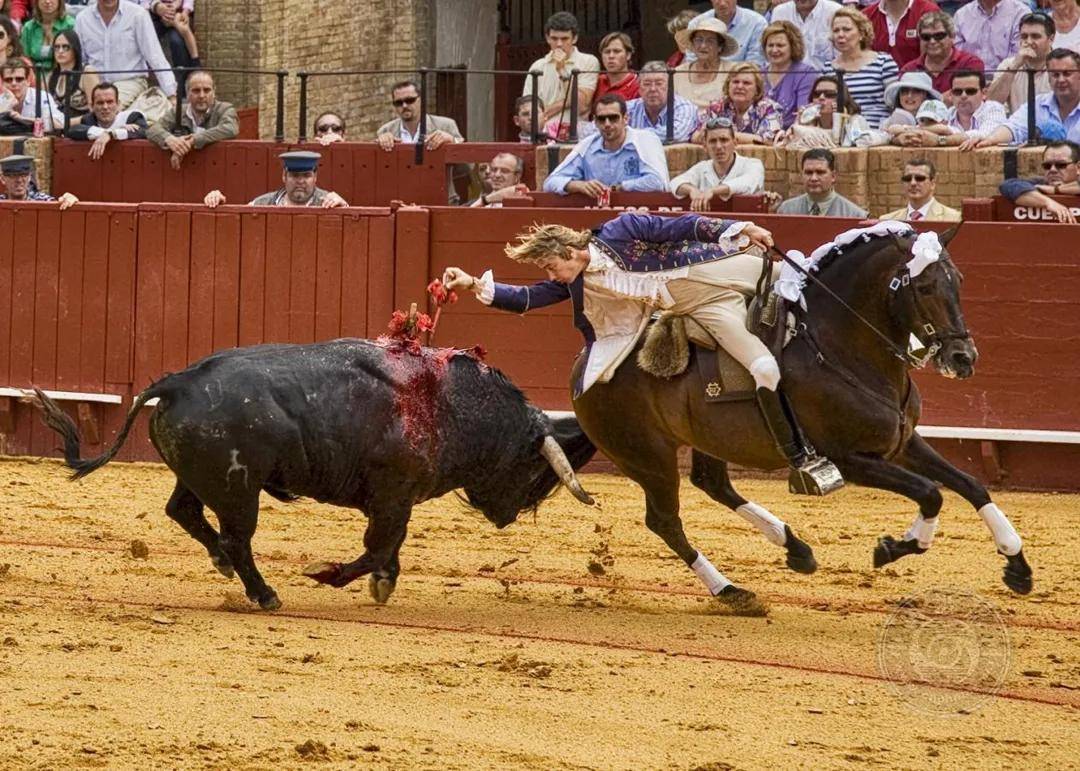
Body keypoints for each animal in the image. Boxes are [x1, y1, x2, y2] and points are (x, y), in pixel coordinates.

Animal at [33, 339, 596, 609]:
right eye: (532, 468)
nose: (507, 518)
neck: (452, 405)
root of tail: (178, 381)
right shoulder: (393, 497)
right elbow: (377, 547)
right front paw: (330, 575)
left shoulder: (397, 501)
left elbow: (388, 548)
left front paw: (383, 583)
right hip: (239, 491)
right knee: (236, 538)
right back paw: (264, 595)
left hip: (203, 478)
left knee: (184, 511)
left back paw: (222, 565)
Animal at [570, 223, 1032, 613]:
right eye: (923, 285)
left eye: (959, 281)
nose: (963, 358)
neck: (840, 343)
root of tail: (583, 366)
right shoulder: (851, 459)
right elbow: (931, 493)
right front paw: (892, 547)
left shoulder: (902, 442)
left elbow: (969, 485)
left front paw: (1018, 566)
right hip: (649, 458)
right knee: (665, 521)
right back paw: (732, 591)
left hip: (706, 440)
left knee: (713, 484)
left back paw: (796, 549)